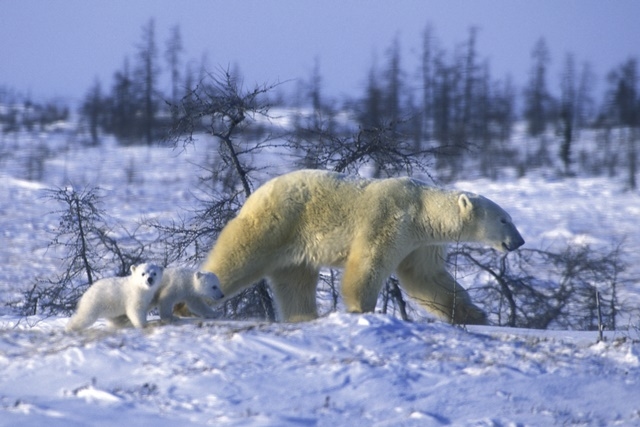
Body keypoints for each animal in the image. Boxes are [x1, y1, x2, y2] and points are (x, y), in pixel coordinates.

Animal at [201, 171, 524, 324]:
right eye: (505, 219)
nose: (519, 241)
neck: (422, 207)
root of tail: (255, 194)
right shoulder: (390, 218)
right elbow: (370, 262)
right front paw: (361, 310)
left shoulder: (420, 244)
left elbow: (426, 278)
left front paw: (474, 315)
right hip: (276, 223)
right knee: (238, 257)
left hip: (295, 250)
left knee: (295, 284)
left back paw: (304, 316)